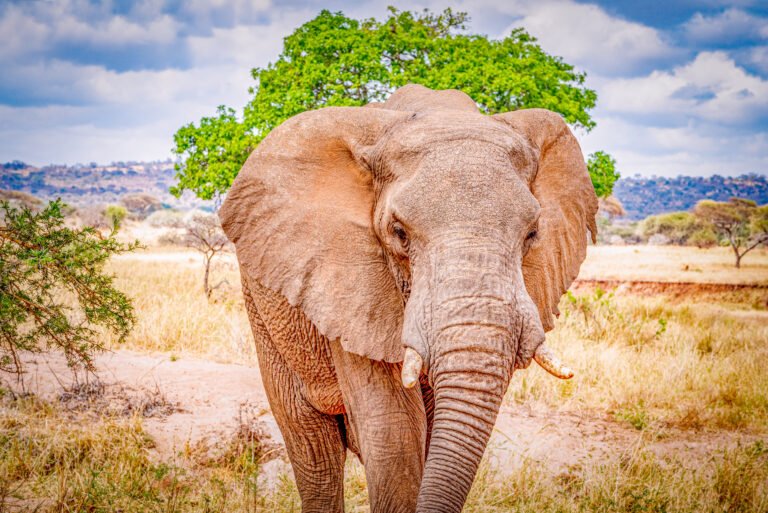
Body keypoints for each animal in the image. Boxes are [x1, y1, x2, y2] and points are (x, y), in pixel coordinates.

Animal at [219, 84, 598, 513]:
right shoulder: (353, 283)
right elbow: (394, 436)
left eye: (533, 233)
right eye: (398, 232)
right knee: (314, 449)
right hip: (262, 309)